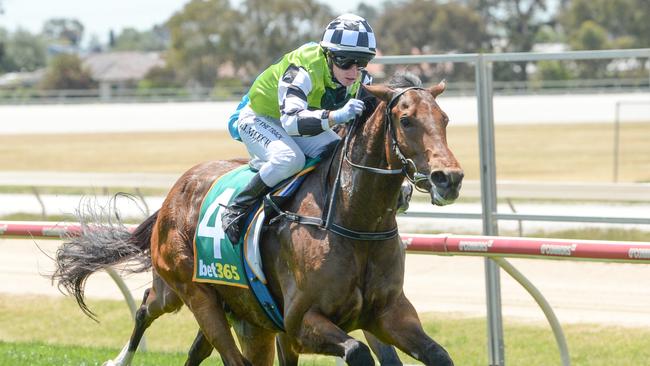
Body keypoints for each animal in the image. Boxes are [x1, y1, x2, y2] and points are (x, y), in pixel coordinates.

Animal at [54, 73, 460, 364]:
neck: (352, 222)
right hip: (192, 292)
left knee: (191, 341)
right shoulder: (299, 322)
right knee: (154, 312)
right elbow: (357, 351)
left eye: (444, 119)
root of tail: (174, 193)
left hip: (242, 313)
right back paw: (119, 359)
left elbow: (438, 354)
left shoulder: (388, 314)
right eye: (406, 120)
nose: (449, 178)